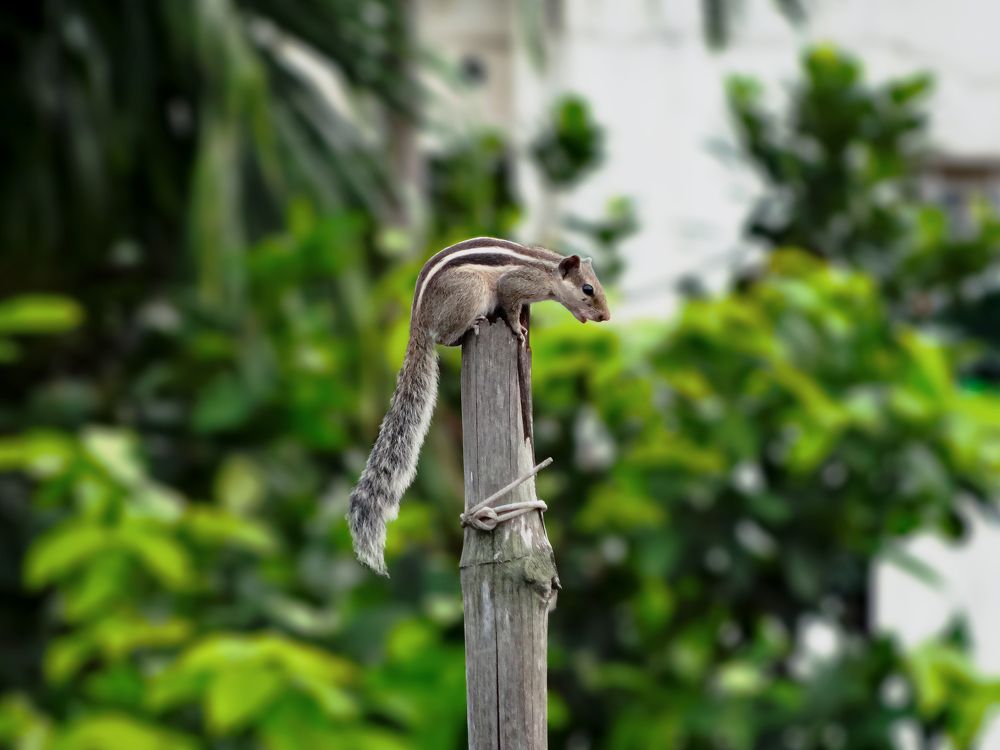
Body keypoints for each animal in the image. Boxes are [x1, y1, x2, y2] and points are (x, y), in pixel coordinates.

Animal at [347, 236, 611, 575]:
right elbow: (510, 308)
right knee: (445, 337)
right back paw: (471, 325)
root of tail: (417, 319)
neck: (547, 270)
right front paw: (517, 329)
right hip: (470, 292)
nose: (606, 316)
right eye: (588, 289)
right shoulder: (514, 285)